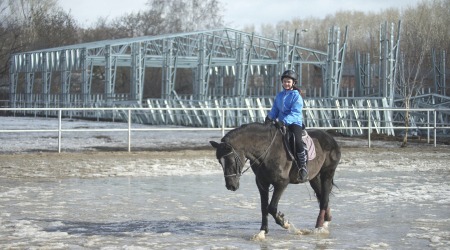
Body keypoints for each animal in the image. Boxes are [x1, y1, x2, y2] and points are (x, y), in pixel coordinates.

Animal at [211, 122, 342, 237]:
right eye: (220, 162)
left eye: (231, 160)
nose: (231, 186)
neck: (267, 151)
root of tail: (329, 137)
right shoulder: (262, 184)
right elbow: (264, 207)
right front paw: (262, 232)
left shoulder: (281, 183)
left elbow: (272, 207)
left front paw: (285, 223)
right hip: (314, 177)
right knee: (322, 196)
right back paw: (326, 220)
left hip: (328, 173)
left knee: (324, 198)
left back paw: (320, 226)